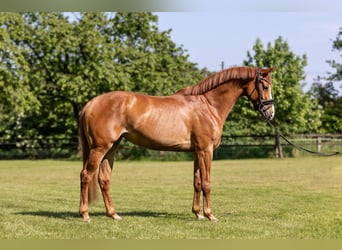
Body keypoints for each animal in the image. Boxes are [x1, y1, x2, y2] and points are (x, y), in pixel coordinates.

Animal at [78, 66, 276, 221]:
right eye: (265, 86)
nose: (270, 113)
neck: (208, 105)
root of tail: (90, 104)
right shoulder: (206, 150)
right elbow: (207, 182)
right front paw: (210, 215)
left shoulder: (197, 152)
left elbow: (197, 182)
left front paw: (198, 214)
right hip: (100, 148)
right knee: (86, 175)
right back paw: (85, 215)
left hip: (112, 147)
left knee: (104, 179)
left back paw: (113, 214)